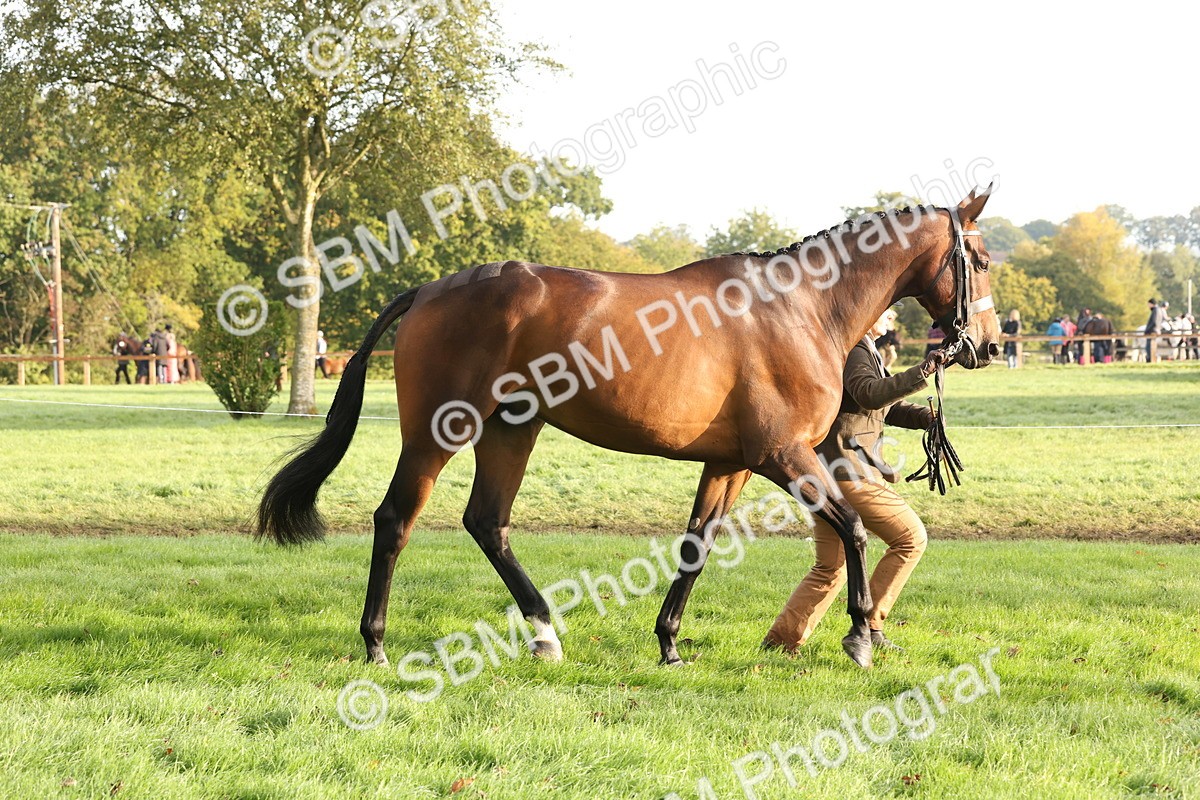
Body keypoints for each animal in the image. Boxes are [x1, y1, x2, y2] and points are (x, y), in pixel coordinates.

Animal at [257, 190, 1001, 670]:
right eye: (985, 260)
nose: (988, 345)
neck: (801, 306)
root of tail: (431, 290)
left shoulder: (730, 463)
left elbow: (697, 544)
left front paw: (669, 643)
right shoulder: (783, 454)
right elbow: (850, 527)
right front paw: (859, 636)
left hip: (511, 429)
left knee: (488, 523)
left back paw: (544, 635)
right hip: (440, 433)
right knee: (395, 521)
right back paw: (376, 643)